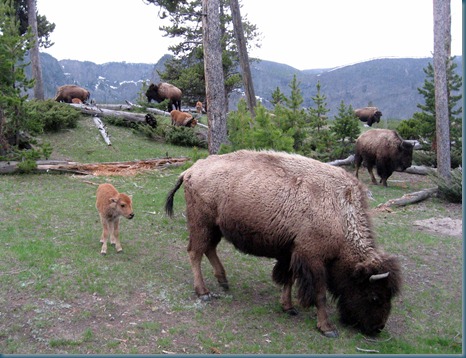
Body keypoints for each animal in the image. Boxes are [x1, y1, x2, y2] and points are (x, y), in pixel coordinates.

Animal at [166, 149, 402, 338]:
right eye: (374, 296)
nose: (377, 328)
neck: (339, 210)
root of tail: (191, 170)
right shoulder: (313, 259)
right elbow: (319, 294)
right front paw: (327, 328)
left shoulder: (291, 253)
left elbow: (288, 278)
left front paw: (288, 307)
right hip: (202, 224)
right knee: (195, 252)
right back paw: (203, 292)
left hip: (215, 228)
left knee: (209, 249)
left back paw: (223, 281)